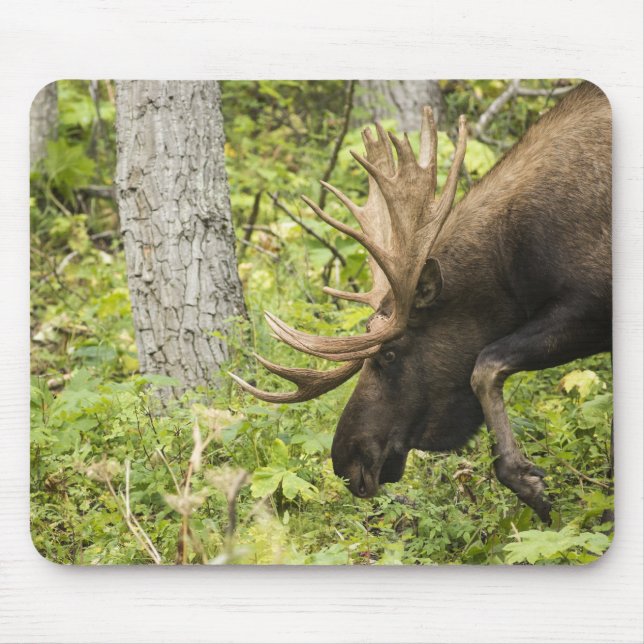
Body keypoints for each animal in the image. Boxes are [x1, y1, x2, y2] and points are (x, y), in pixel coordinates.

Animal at [230, 82, 612, 522]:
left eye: (389, 354)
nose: (347, 462)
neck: (514, 262)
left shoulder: (590, 304)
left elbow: (485, 364)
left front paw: (529, 482)